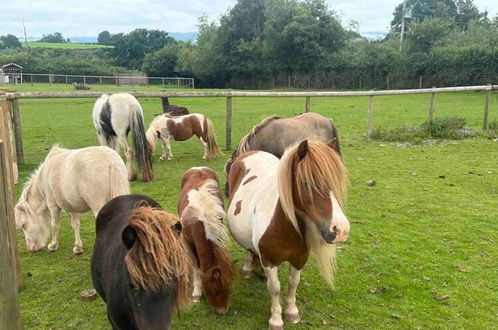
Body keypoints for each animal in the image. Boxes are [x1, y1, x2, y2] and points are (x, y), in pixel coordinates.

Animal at [177, 166, 235, 314]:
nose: (222, 311)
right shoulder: (189, 244)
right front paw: (197, 293)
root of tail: (197, 167)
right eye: (213, 291)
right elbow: (197, 268)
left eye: (228, 288)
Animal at [227, 140, 350, 330]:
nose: (340, 230)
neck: (283, 228)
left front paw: (292, 312)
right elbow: (275, 288)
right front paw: (276, 319)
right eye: (306, 182)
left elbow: (293, 283)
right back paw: (248, 269)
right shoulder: (269, 261)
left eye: (336, 182)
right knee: (249, 250)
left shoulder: (299, 259)